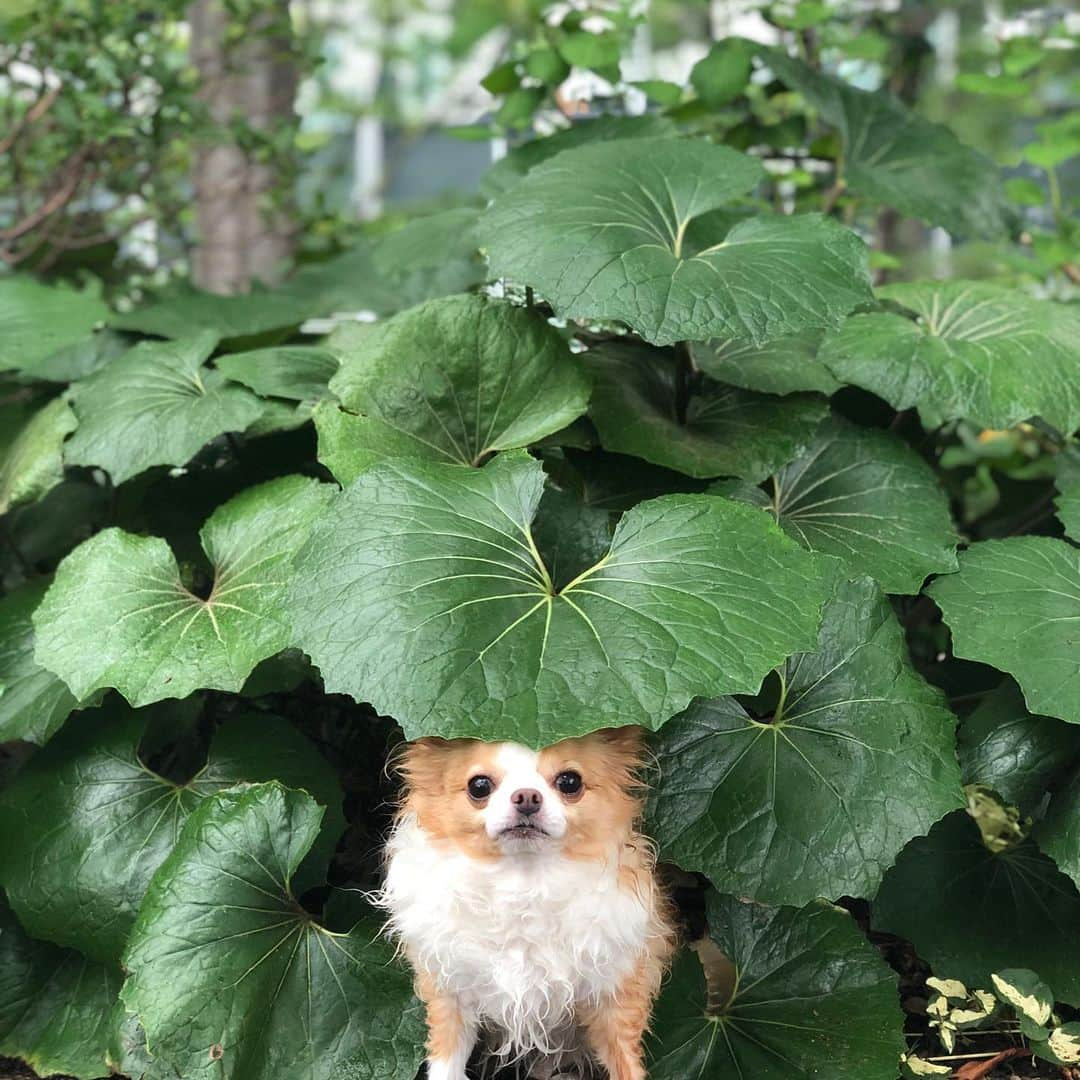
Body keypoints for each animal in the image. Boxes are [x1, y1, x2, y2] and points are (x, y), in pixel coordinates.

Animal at [375, 725, 669, 1080]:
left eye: (570, 782)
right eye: (479, 786)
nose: (527, 796)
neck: (523, 883)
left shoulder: (615, 995)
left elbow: (626, 1063)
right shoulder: (451, 993)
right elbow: (446, 1063)